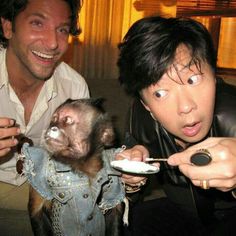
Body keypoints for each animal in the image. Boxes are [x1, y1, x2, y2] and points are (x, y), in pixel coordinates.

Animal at [20, 98, 127, 236]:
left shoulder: (113, 178)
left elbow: (114, 208)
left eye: (67, 120)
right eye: (54, 120)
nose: (52, 127)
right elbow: (36, 211)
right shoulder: (40, 169)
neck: (80, 166)